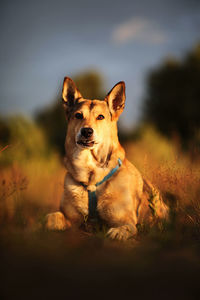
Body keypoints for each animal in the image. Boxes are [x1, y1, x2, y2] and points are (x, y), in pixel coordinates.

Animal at [45, 76, 169, 240]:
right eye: (78, 115)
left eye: (100, 117)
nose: (86, 131)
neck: (91, 177)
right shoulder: (69, 216)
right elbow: (50, 218)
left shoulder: (126, 220)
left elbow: (126, 227)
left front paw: (118, 232)